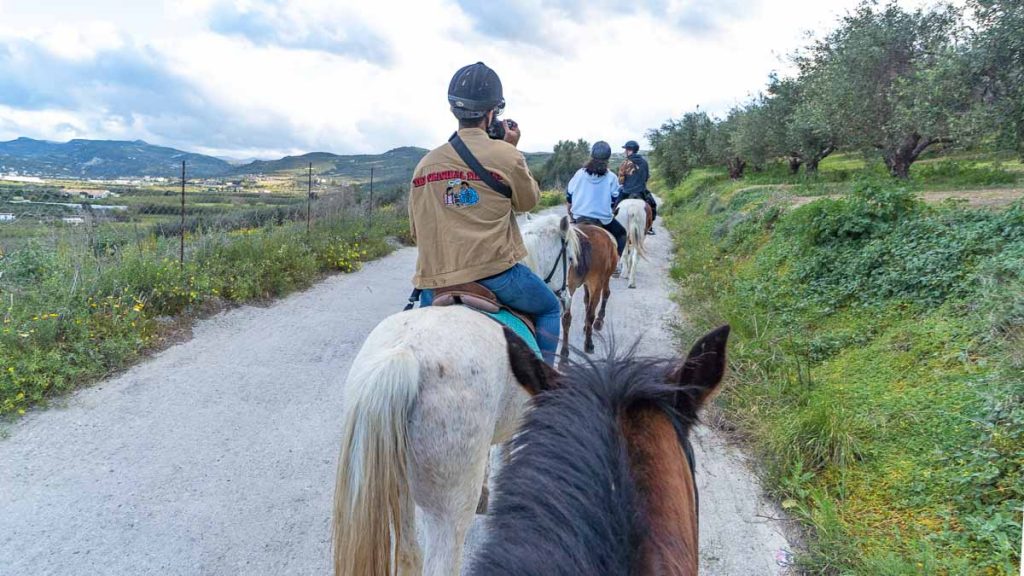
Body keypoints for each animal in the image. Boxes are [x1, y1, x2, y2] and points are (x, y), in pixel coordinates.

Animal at [333, 213, 577, 569]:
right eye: (570, 258)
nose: (568, 298)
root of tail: (404, 356)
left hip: (399, 489)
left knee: (409, 555)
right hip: (448, 507)